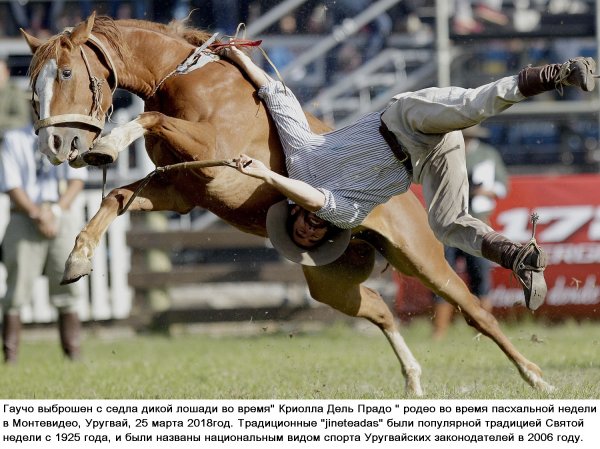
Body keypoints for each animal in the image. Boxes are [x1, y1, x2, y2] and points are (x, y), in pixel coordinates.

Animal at [18, 14, 552, 394]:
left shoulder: (212, 157)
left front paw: (108, 144)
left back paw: (535, 371)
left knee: (475, 309)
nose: (57, 145)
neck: (186, 82)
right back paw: (414, 379)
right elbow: (116, 195)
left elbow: (149, 119)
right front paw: (77, 259)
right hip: (331, 282)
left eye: (67, 72)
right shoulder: (181, 189)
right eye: (31, 85)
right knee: (381, 310)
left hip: (420, 256)